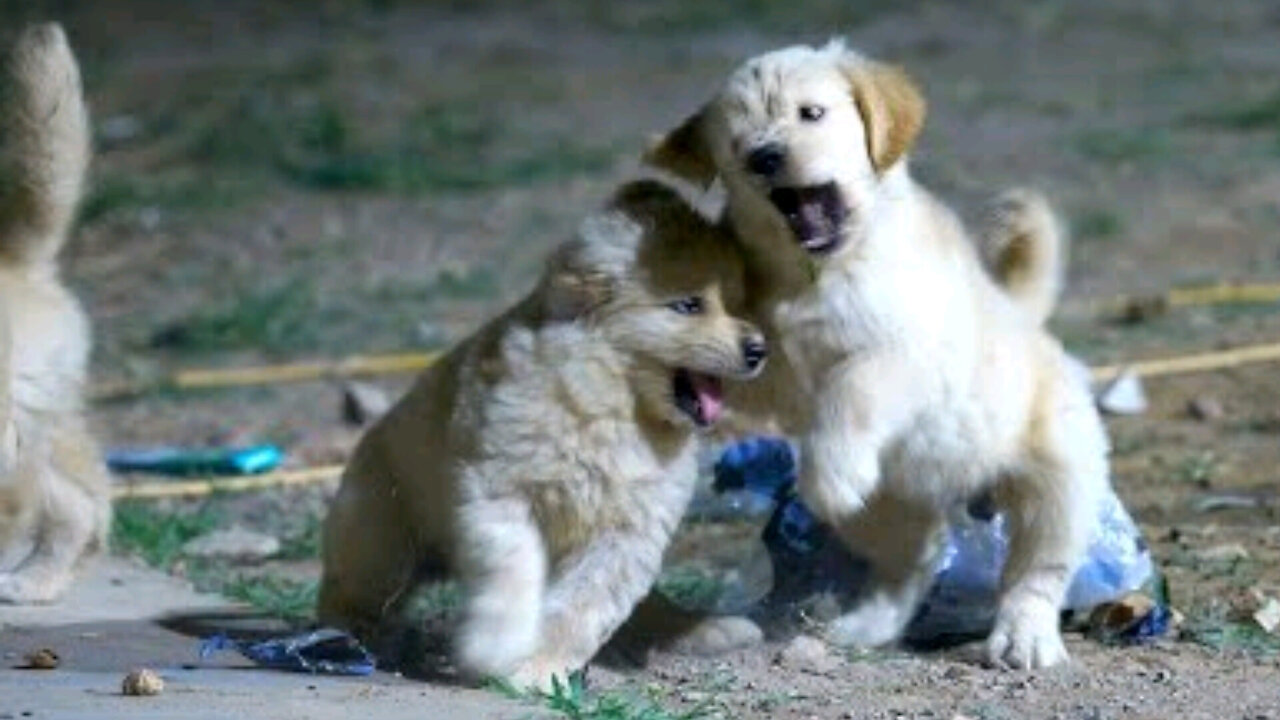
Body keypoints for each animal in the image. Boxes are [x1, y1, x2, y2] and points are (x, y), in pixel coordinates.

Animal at [650, 40, 1111, 666]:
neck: (815, 272)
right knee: (916, 560)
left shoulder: (904, 352)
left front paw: (832, 469)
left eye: (811, 114)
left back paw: (1024, 637)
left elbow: (852, 389)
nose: (764, 157)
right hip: (884, 509)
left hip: (1059, 477)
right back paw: (868, 624)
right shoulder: (765, 362)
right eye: (737, 140)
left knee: (1037, 569)